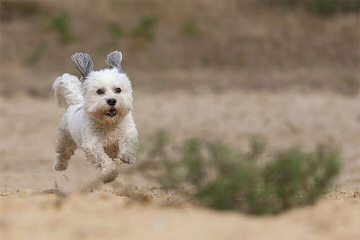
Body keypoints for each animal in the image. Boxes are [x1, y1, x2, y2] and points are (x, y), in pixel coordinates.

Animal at [52, 50, 139, 182]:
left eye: (118, 89)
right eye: (100, 91)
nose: (112, 101)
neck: (109, 124)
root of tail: (76, 103)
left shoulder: (128, 131)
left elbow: (128, 140)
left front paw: (127, 156)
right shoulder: (92, 144)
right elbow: (102, 157)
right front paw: (110, 172)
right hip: (65, 138)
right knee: (63, 153)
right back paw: (59, 166)